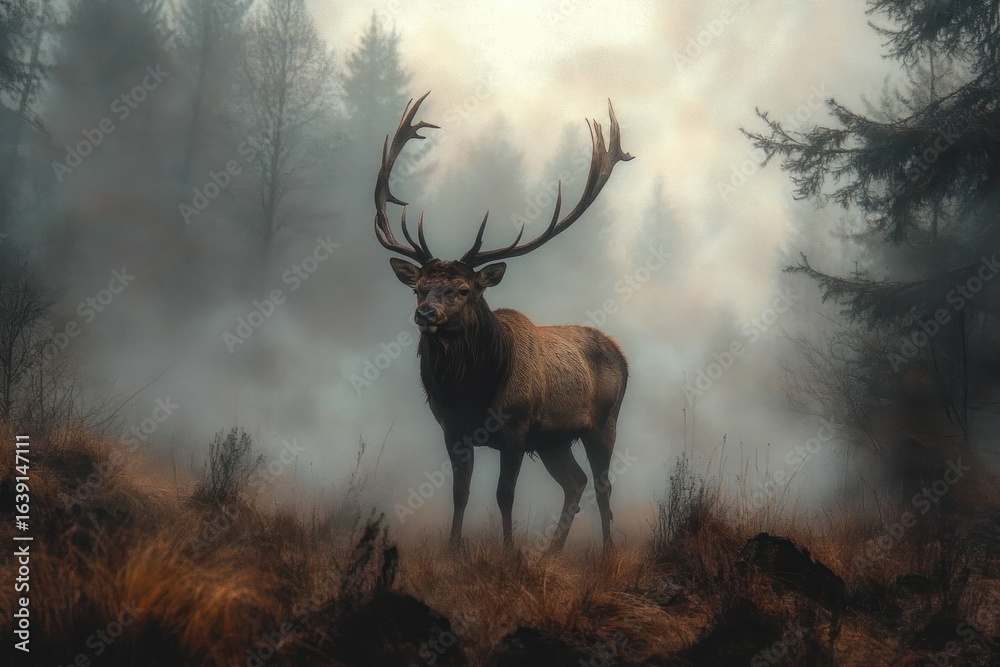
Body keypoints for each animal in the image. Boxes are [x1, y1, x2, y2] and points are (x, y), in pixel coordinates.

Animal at [374, 92, 633, 552]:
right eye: (419, 288)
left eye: (464, 289)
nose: (425, 314)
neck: (471, 391)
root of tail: (622, 355)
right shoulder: (452, 429)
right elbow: (461, 492)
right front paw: (453, 551)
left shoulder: (515, 426)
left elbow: (504, 494)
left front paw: (510, 553)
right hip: (553, 440)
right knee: (575, 482)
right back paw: (549, 552)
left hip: (604, 422)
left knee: (603, 485)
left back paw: (605, 553)